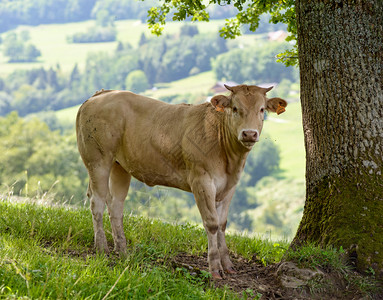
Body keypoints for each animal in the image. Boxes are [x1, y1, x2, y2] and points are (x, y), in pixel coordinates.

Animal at [76, 84, 286, 278]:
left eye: (261, 109)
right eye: (235, 108)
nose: (249, 134)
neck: (230, 161)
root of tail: (101, 94)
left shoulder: (230, 186)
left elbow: (222, 223)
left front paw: (228, 265)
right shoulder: (201, 180)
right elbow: (212, 223)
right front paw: (214, 269)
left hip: (120, 166)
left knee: (115, 206)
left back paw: (123, 251)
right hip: (98, 160)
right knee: (97, 202)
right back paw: (102, 248)